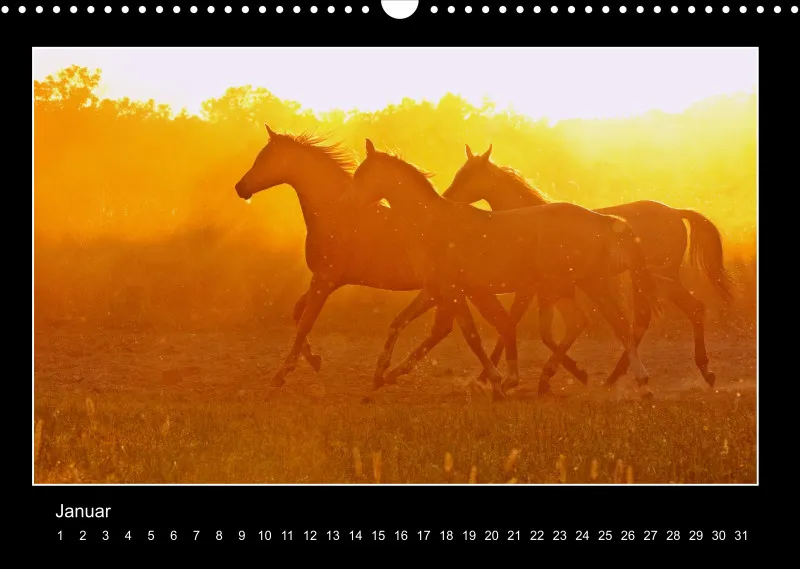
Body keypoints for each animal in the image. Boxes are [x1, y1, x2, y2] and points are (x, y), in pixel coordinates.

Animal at [344, 139, 659, 400]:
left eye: (362, 175)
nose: (349, 205)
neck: (433, 224)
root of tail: (603, 221)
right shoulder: (439, 291)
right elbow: (401, 322)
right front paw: (381, 375)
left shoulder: (454, 292)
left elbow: (472, 335)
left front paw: (497, 383)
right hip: (582, 285)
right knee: (607, 325)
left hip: (569, 286)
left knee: (603, 324)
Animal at [440, 144, 734, 387]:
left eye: (467, 176)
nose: (446, 198)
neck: (528, 220)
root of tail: (675, 212)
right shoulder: (544, 290)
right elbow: (539, 330)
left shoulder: (531, 288)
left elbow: (513, 323)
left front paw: (489, 377)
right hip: (648, 280)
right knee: (657, 316)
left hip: (660, 278)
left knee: (681, 311)